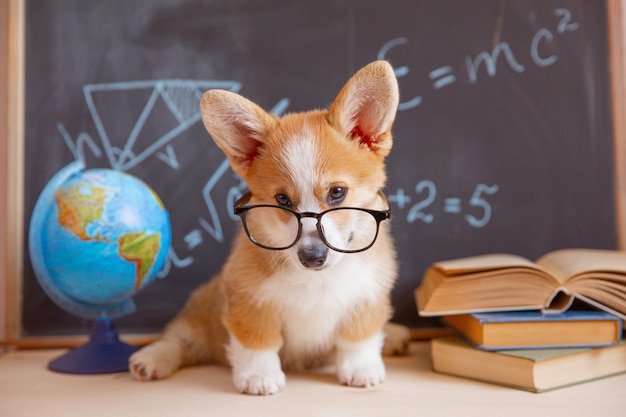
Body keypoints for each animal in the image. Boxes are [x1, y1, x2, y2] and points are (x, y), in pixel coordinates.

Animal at [129, 59, 408, 394]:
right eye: (282, 200)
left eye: (337, 192)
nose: (312, 258)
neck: (317, 281)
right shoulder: (249, 301)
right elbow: (257, 341)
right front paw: (259, 377)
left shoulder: (367, 297)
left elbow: (359, 338)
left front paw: (361, 368)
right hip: (201, 314)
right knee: (179, 339)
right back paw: (151, 359)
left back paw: (396, 335)